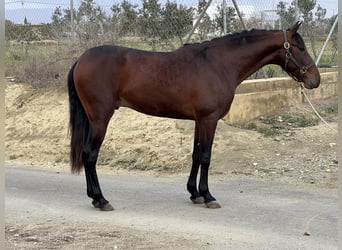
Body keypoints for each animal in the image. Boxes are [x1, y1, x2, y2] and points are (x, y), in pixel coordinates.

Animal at [68, 22, 320, 211]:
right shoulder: (209, 119)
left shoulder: (200, 121)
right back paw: (101, 199)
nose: (315, 80)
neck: (218, 64)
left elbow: (196, 155)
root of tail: (81, 59)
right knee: (90, 155)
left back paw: (95, 198)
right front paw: (208, 196)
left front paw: (194, 193)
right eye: (299, 48)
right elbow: (206, 157)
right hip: (100, 119)